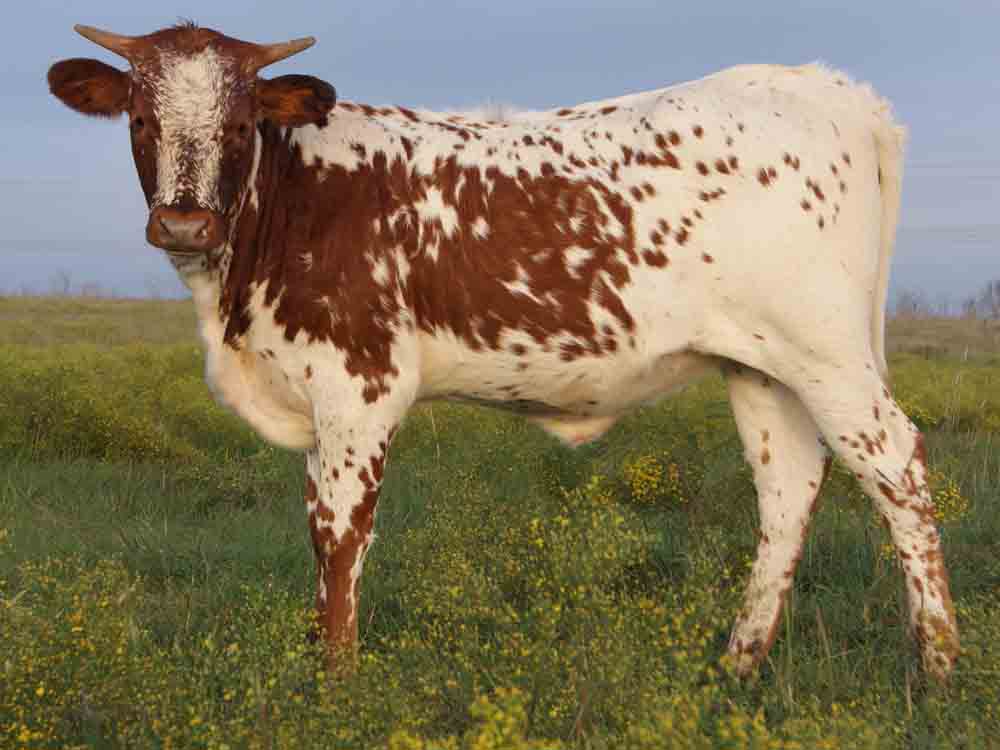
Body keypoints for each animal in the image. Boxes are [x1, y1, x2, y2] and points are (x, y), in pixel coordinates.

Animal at [48, 23, 960, 680]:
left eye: (239, 124)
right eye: (139, 119)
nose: (183, 223)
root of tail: (818, 84)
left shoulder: (359, 383)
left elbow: (340, 535)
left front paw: (334, 683)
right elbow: (320, 530)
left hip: (828, 352)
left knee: (898, 467)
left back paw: (939, 667)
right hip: (763, 363)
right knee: (787, 487)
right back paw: (737, 666)